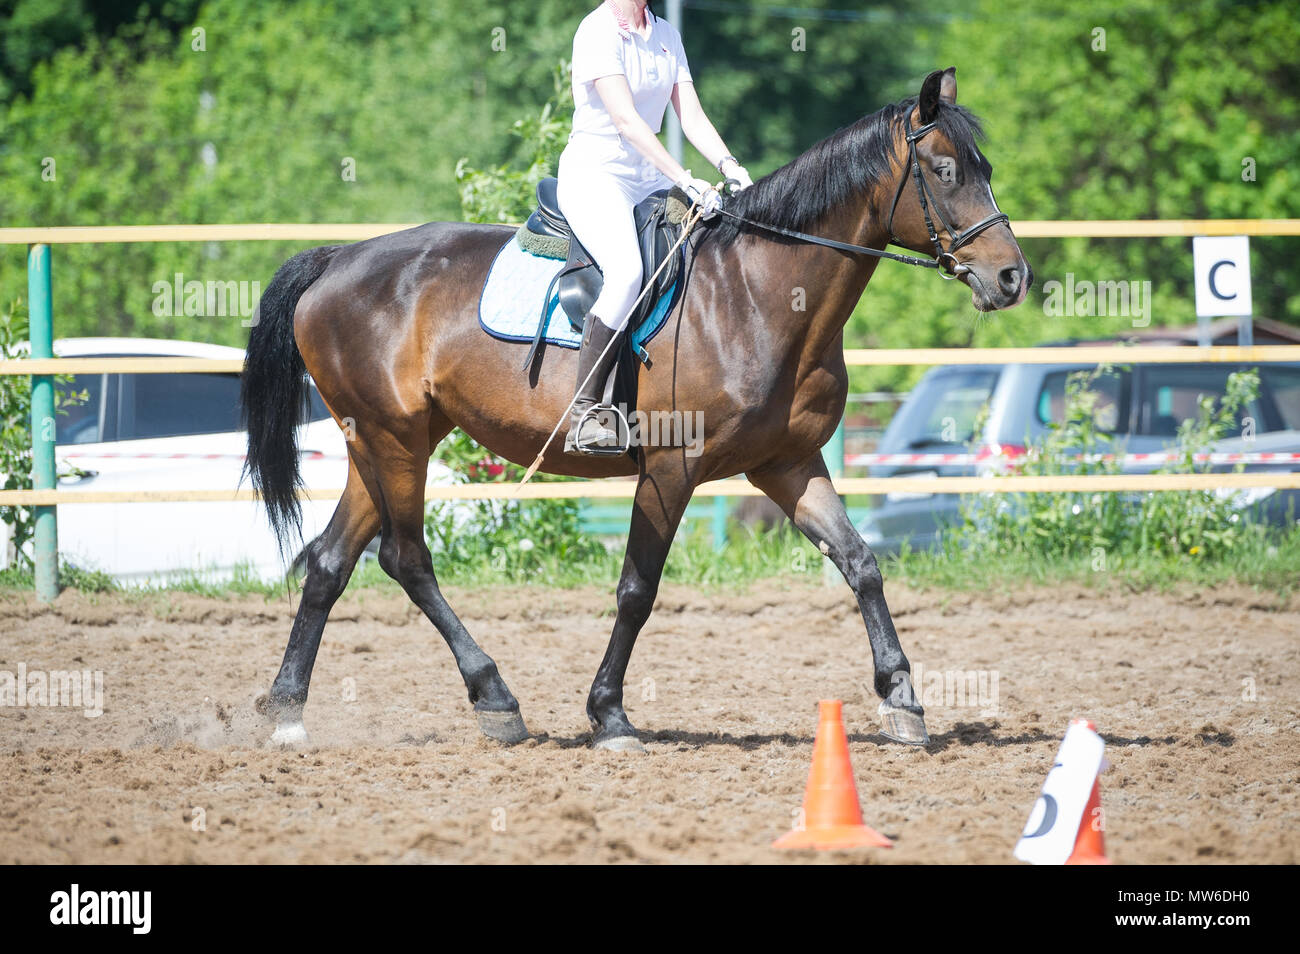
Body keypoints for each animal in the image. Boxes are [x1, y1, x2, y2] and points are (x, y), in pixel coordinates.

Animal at [244, 69, 1029, 753]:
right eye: (946, 171)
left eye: (986, 165)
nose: (1012, 277)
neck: (758, 292)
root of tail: (340, 259)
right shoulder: (671, 469)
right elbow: (637, 590)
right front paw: (610, 716)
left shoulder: (788, 463)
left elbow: (861, 563)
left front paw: (902, 700)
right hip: (395, 440)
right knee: (406, 558)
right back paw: (494, 697)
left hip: (379, 443)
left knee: (330, 562)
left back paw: (287, 711)